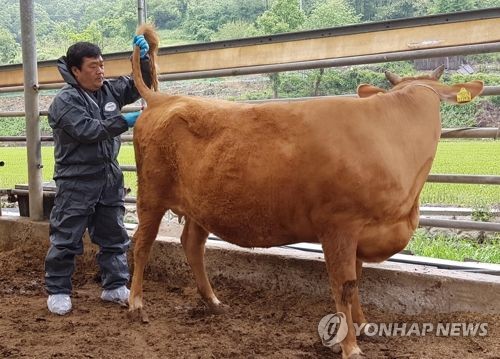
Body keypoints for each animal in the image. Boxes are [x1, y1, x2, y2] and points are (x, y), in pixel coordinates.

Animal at [129, 23, 484, 358]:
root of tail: (164, 99)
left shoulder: (361, 233)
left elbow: (358, 279)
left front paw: (364, 325)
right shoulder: (339, 225)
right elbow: (344, 284)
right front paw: (350, 346)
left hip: (201, 204)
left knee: (192, 244)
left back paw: (214, 301)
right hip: (151, 196)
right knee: (141, 244)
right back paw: (136, 305)